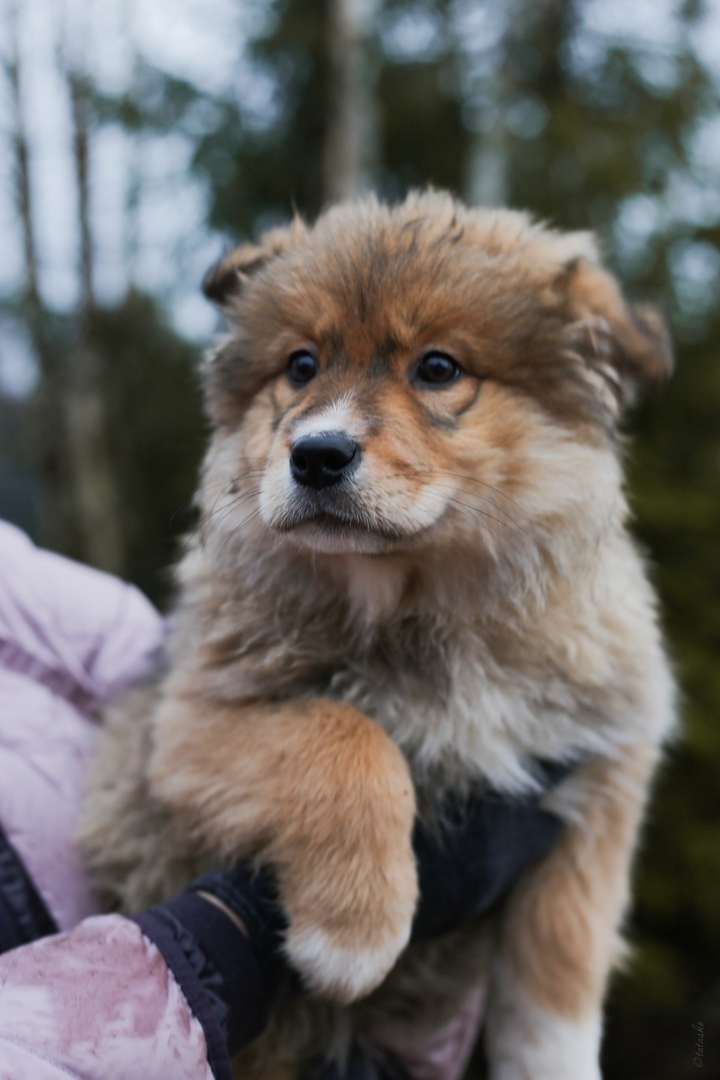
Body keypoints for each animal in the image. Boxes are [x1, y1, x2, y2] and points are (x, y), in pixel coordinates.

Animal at [81, 194, 677, 1080]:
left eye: (438, 368)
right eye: (300, 366)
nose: (315, 454)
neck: (418, 610)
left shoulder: (598, 783)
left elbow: (558, 971)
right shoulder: (187, 727)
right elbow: (351, 738)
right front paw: (355, 934)